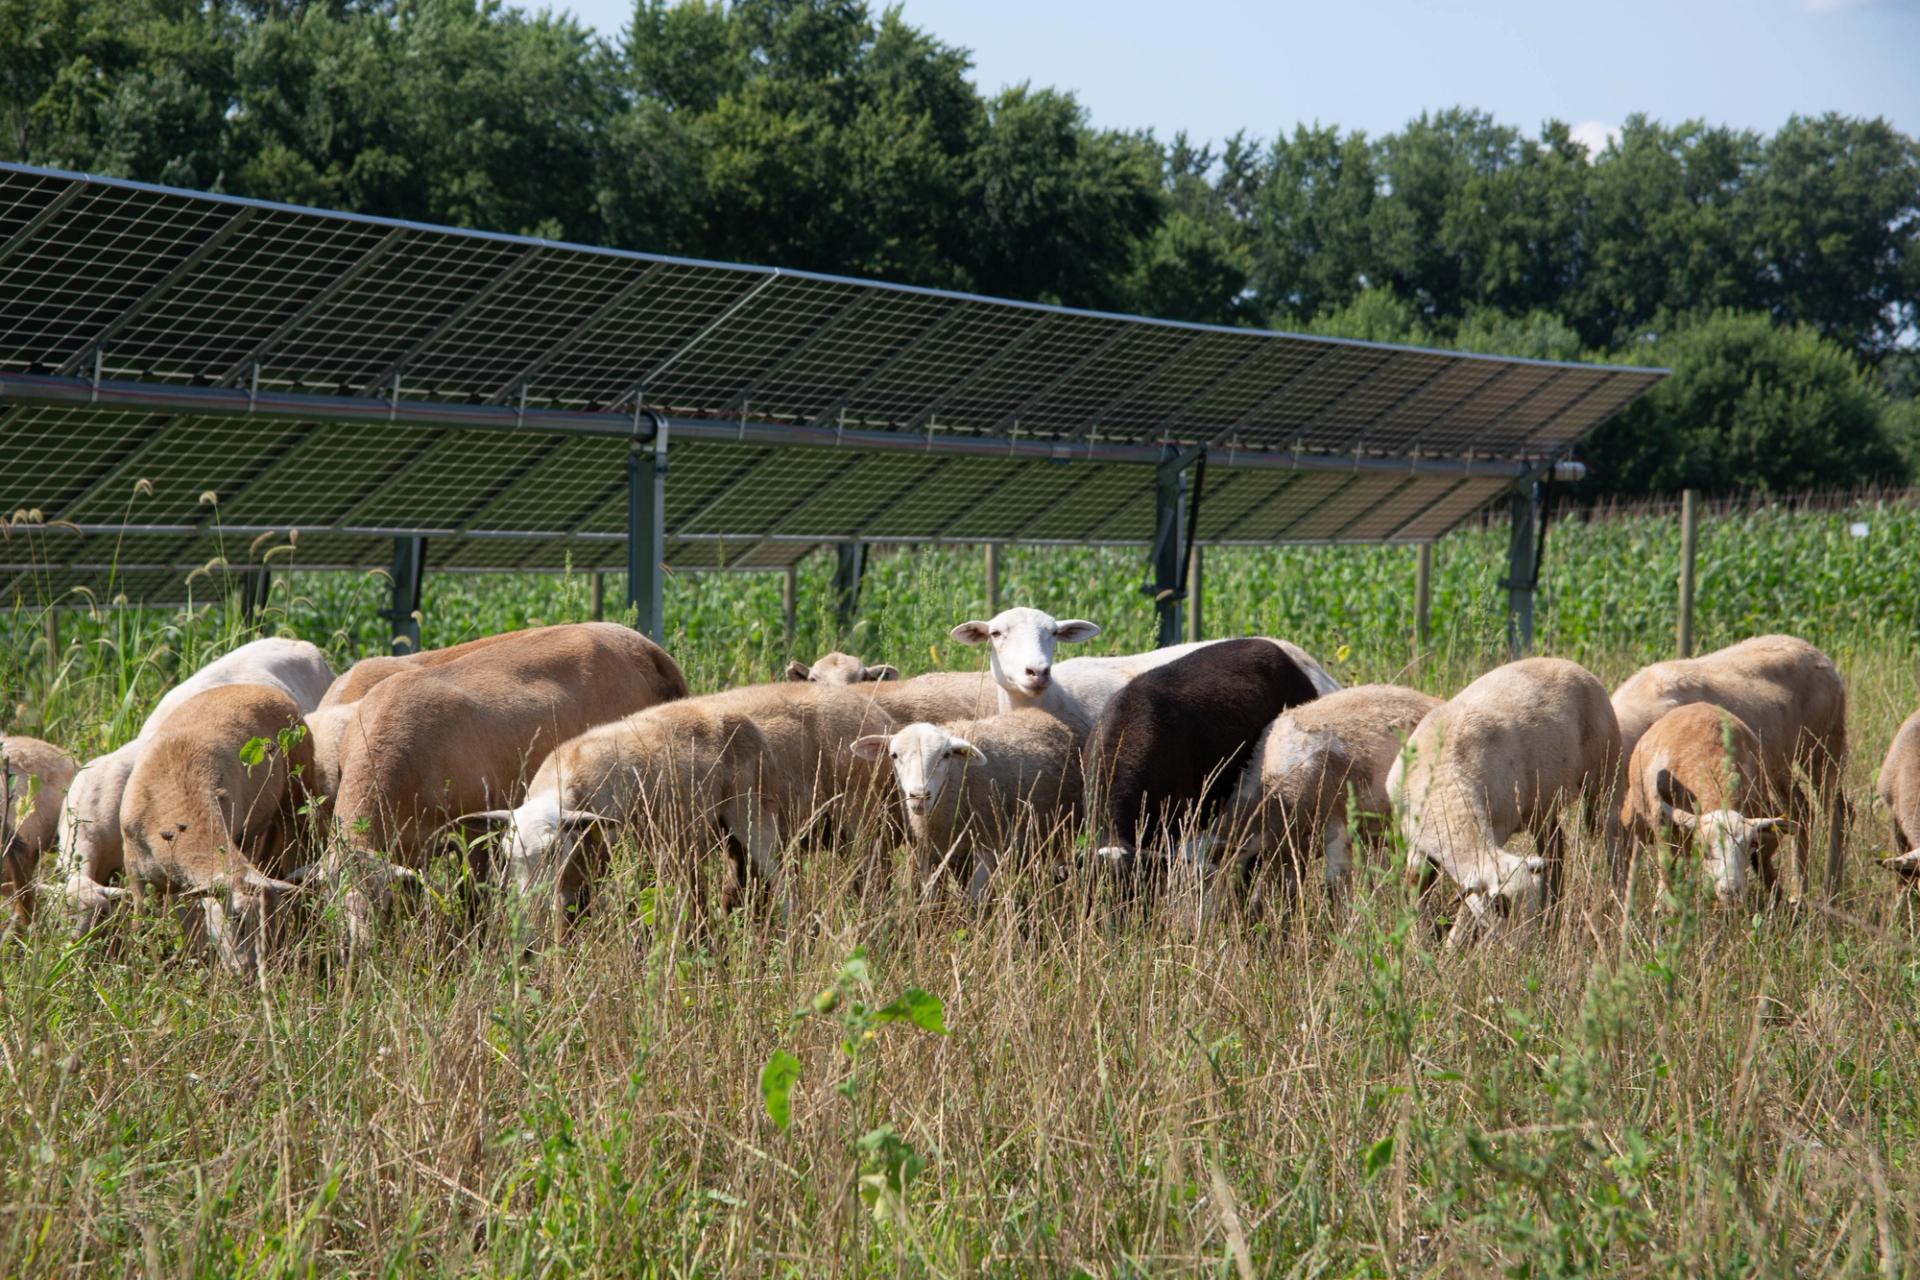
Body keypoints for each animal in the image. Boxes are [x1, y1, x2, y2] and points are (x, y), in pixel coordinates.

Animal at [118, 684, 315, 977]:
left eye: (269, 924)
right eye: (236, 918)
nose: (250, 974)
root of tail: (260, 688)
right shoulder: (135, 873)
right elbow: (139, 928)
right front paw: (138, 973)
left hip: (293, 799)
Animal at [320, 622, 686, 951]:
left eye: (384, 903)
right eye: (334, 901)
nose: (358, 950)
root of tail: (648, 649)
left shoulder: (475, 834)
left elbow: (474, 901)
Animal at [851, 708, 1085, 902]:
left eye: (946, 755)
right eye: (894, 755)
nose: (919, 796)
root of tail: (1040, 713)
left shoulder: (986, 844)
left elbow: (975, 900)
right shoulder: (928, 852)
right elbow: (932, 901)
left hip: (1058, 835)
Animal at [1389, 657, 1621, 944]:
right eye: (1502, 907)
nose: (1522, 949)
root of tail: (1570, 664)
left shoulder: (1495, 830)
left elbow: (1467, 908)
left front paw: (1451, 947)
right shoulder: (1415, 842)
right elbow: (1416, 884)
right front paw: (1418, 942)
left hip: (1602, 774)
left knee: (1610, 840)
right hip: (1541, 803)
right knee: (1555, 846)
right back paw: (1555, 913)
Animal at [1620, 702, 1793, 906]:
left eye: (1750, 845)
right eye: (1704, 849)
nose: (1731, 892)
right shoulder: (1664, 831)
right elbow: (1668, 878)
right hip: (1635, 821)